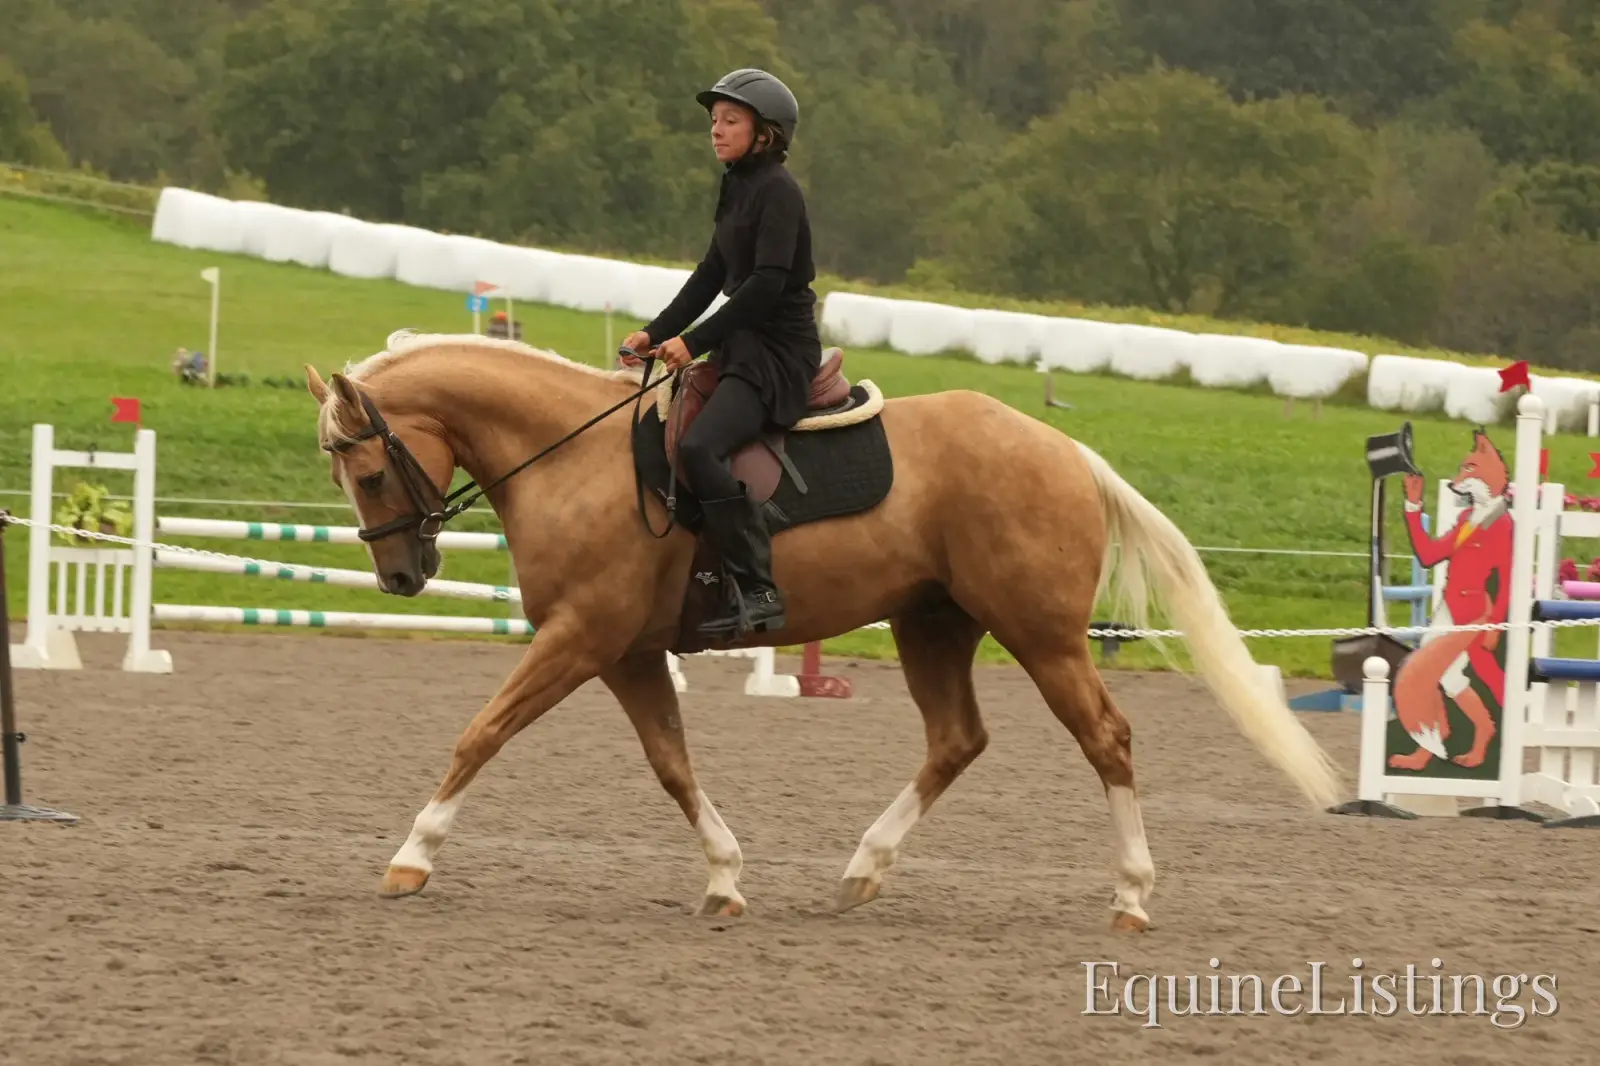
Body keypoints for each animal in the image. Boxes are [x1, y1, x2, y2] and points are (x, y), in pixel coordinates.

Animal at [303, 329, 1342, 930]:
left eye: (368, 473)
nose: (402, 576)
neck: (573, 458)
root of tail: (1064, 449)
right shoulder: (628, 653)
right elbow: (672, 766)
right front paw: (725, 879)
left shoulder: (579, 639)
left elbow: (481, 732)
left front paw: (411, 858)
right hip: (932, 625)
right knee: (957, 739)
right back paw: (862, 870)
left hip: (1041, 636)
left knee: (1107, 738)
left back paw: (1130, 896)